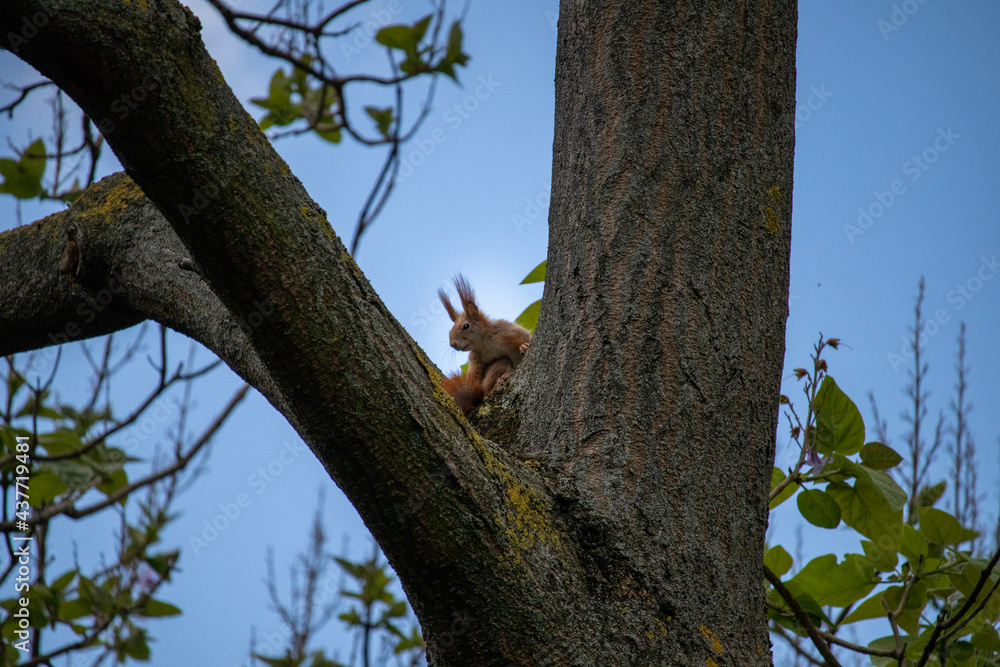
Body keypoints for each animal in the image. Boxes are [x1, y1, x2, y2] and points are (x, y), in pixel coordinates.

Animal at [438, 274, 531, 416]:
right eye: (450, 330)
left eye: (466, 326)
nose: (452, 344)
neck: (485, 343)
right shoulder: (476, 357)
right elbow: (475, 378)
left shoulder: (509, 332)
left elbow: (526, 339)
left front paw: (524, 348)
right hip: (499, 365)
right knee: (485, 391)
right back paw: (500, 381)